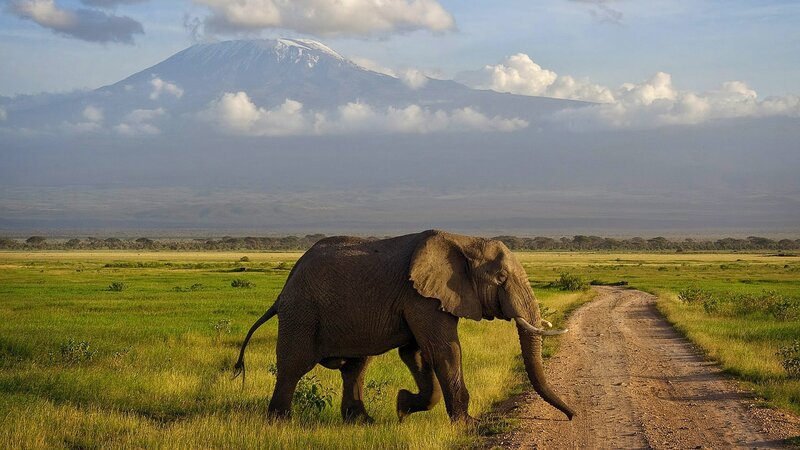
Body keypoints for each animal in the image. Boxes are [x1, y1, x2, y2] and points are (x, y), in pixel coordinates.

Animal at [233, 229, 574, 423]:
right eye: (501, 278)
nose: (571, 416)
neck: (464, 241)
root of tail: (284, 289)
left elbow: (416, 354)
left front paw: (401, 407)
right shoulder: (419, 296)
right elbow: (444, 351)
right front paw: (469, 425)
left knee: (356, 366)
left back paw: (362, 422)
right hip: (301, 313)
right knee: (294, 365)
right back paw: (279, 423)